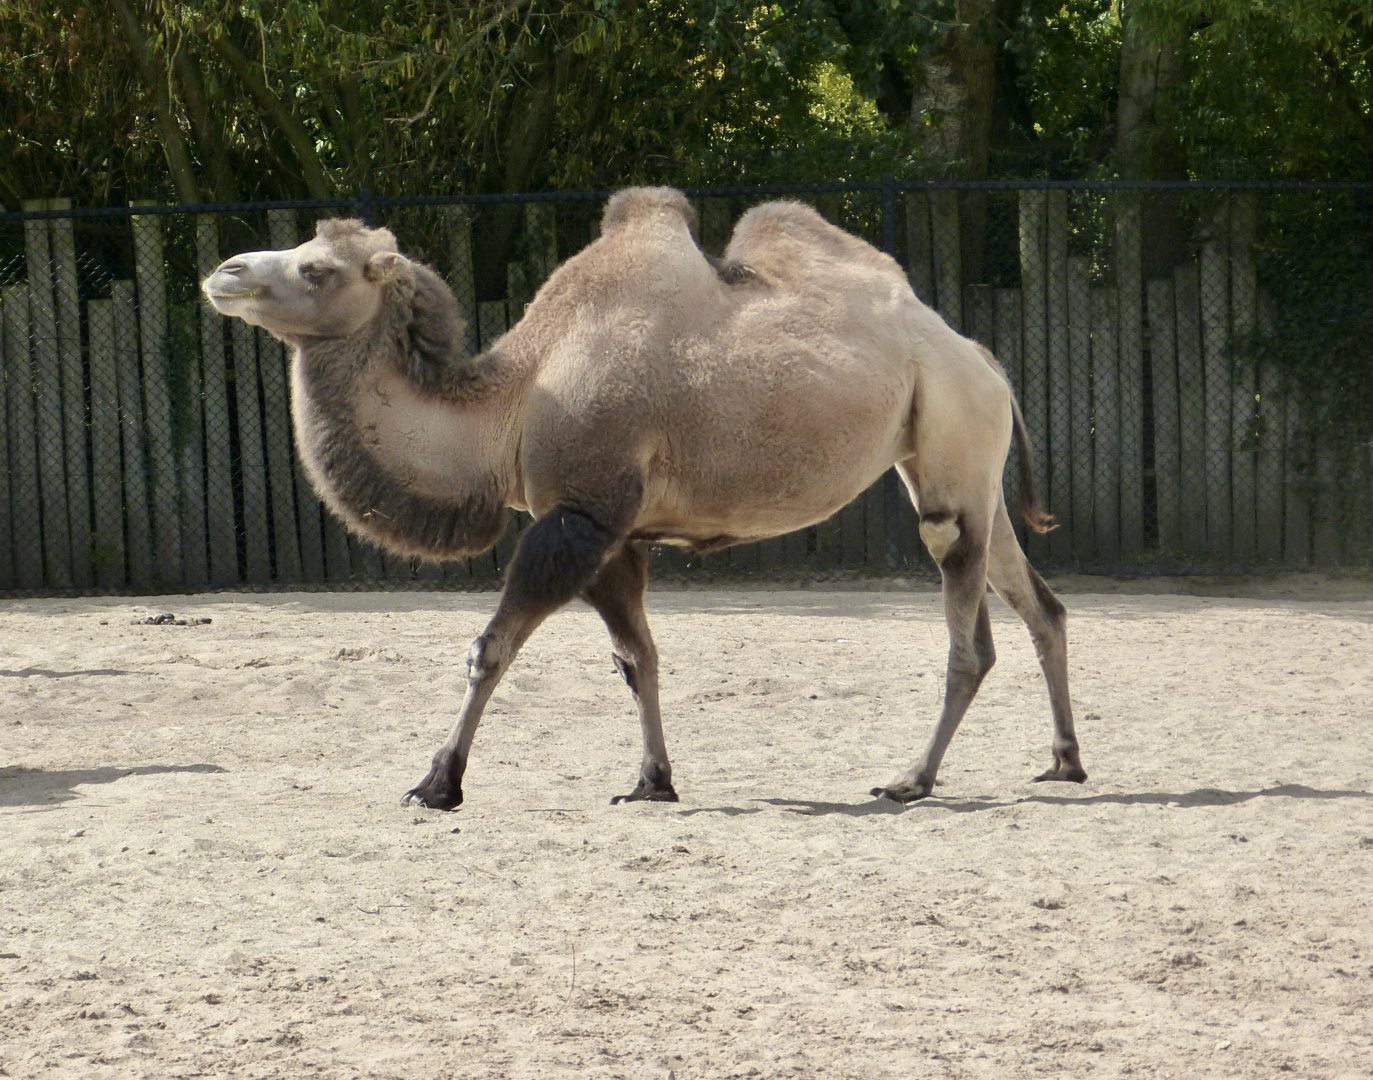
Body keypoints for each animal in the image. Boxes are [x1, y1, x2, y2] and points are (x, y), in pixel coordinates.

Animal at [201, 186, 1086, 810]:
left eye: (317, 268)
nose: (225, 272)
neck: (512, 402)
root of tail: (980, 354)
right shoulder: (615, 534)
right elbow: (638, 658)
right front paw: (651, 780)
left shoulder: (577, 518)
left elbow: (492, 647)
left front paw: (436, 783)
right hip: (958, 459)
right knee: (1036, 600)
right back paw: (1063, 760)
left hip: (950, 443)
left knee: (966, 619)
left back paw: (911, 778)